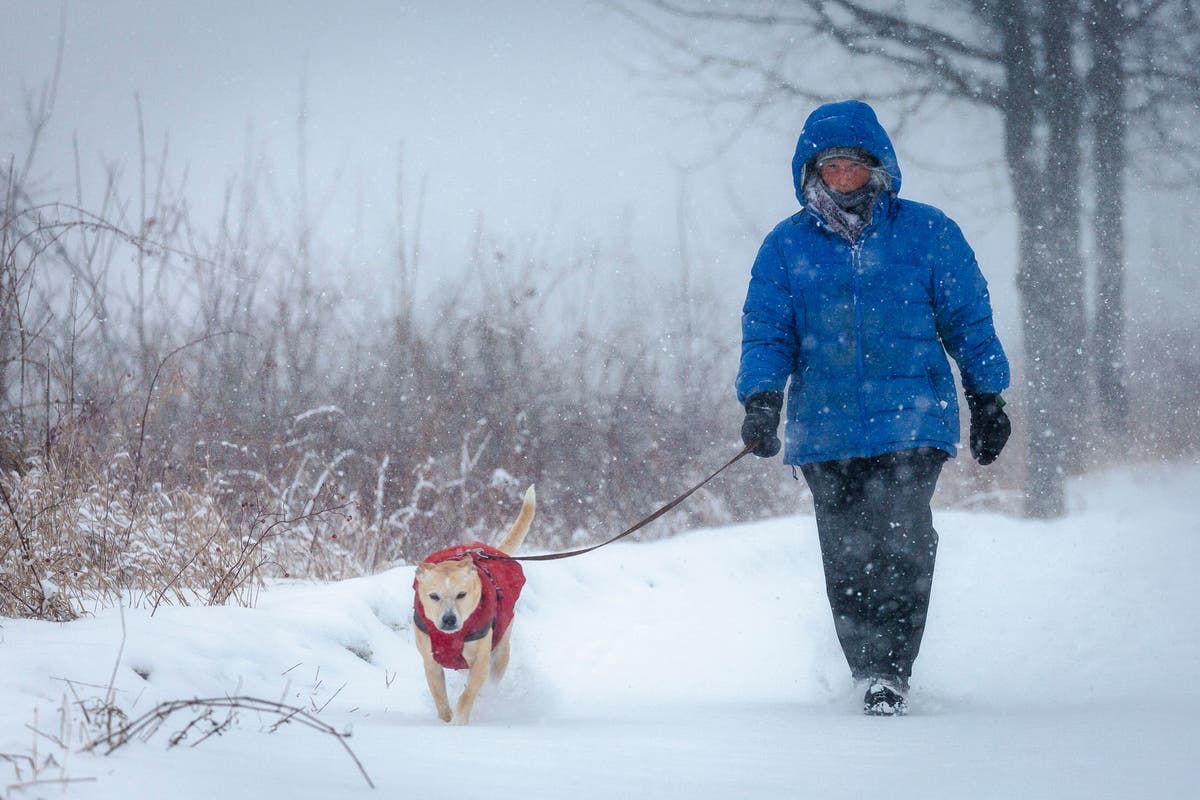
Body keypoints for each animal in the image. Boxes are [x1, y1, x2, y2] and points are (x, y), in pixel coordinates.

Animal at [412, 484, 535, 724]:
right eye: (433, 596)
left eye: (462, 594)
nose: (449, 619)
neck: (451, 638)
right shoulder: (430, 662)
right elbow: (439, 697)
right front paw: (445, 720)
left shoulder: (480, 661)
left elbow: (468, 693)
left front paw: (459, 720)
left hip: (501, 651)